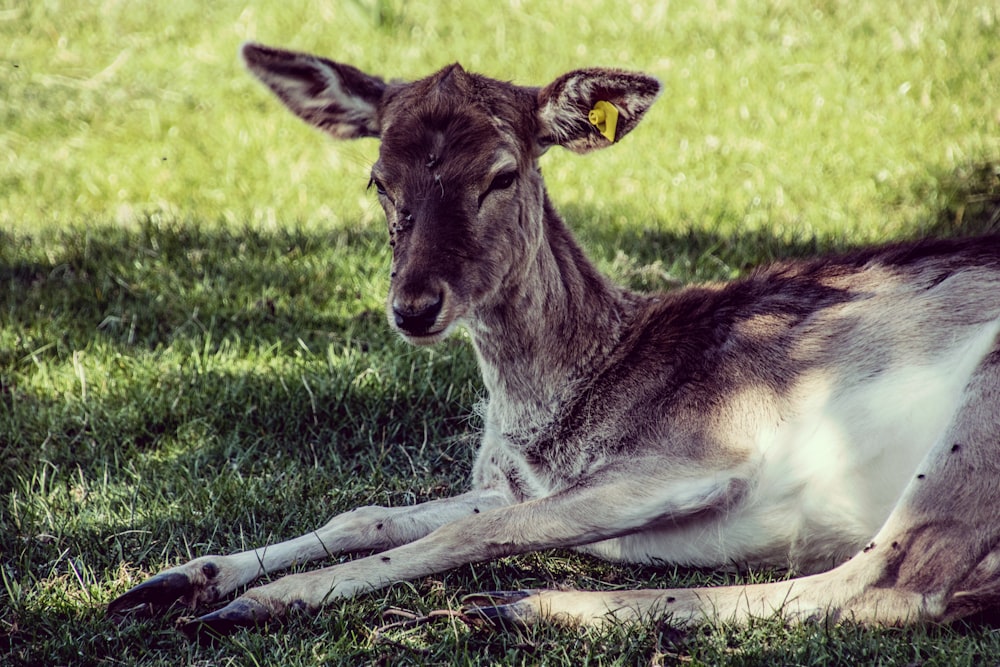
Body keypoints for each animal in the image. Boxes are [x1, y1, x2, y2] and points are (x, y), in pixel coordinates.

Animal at [109, 41, 1000, 636]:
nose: (413, 304)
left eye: (502, 172)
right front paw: (172, 579)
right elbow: (368, 513)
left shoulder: (696, 453)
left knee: (893, 577)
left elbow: (468, 532)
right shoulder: (516, 482)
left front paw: (252, 600)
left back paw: (519, 601)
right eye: (378, 180)